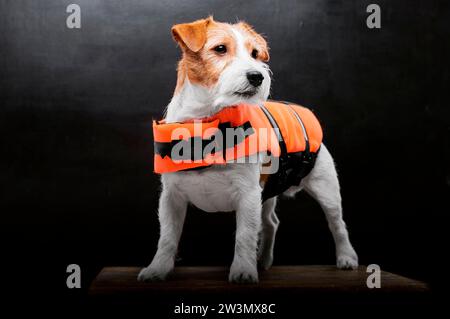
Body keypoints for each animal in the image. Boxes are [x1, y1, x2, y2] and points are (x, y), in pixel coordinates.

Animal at [138, 16, 358, 284]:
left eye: (254, 53)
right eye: (220, 48)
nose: (257, 76)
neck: (206, 123)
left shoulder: (248, 195)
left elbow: (244, 235)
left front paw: (243, 270)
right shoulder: (172, 197)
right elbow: (168, 237)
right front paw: (158, 269)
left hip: (325, 188)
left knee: (337, 223)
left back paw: (346, 257)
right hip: (269, 192)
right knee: (271, 222)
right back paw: (263, 260)